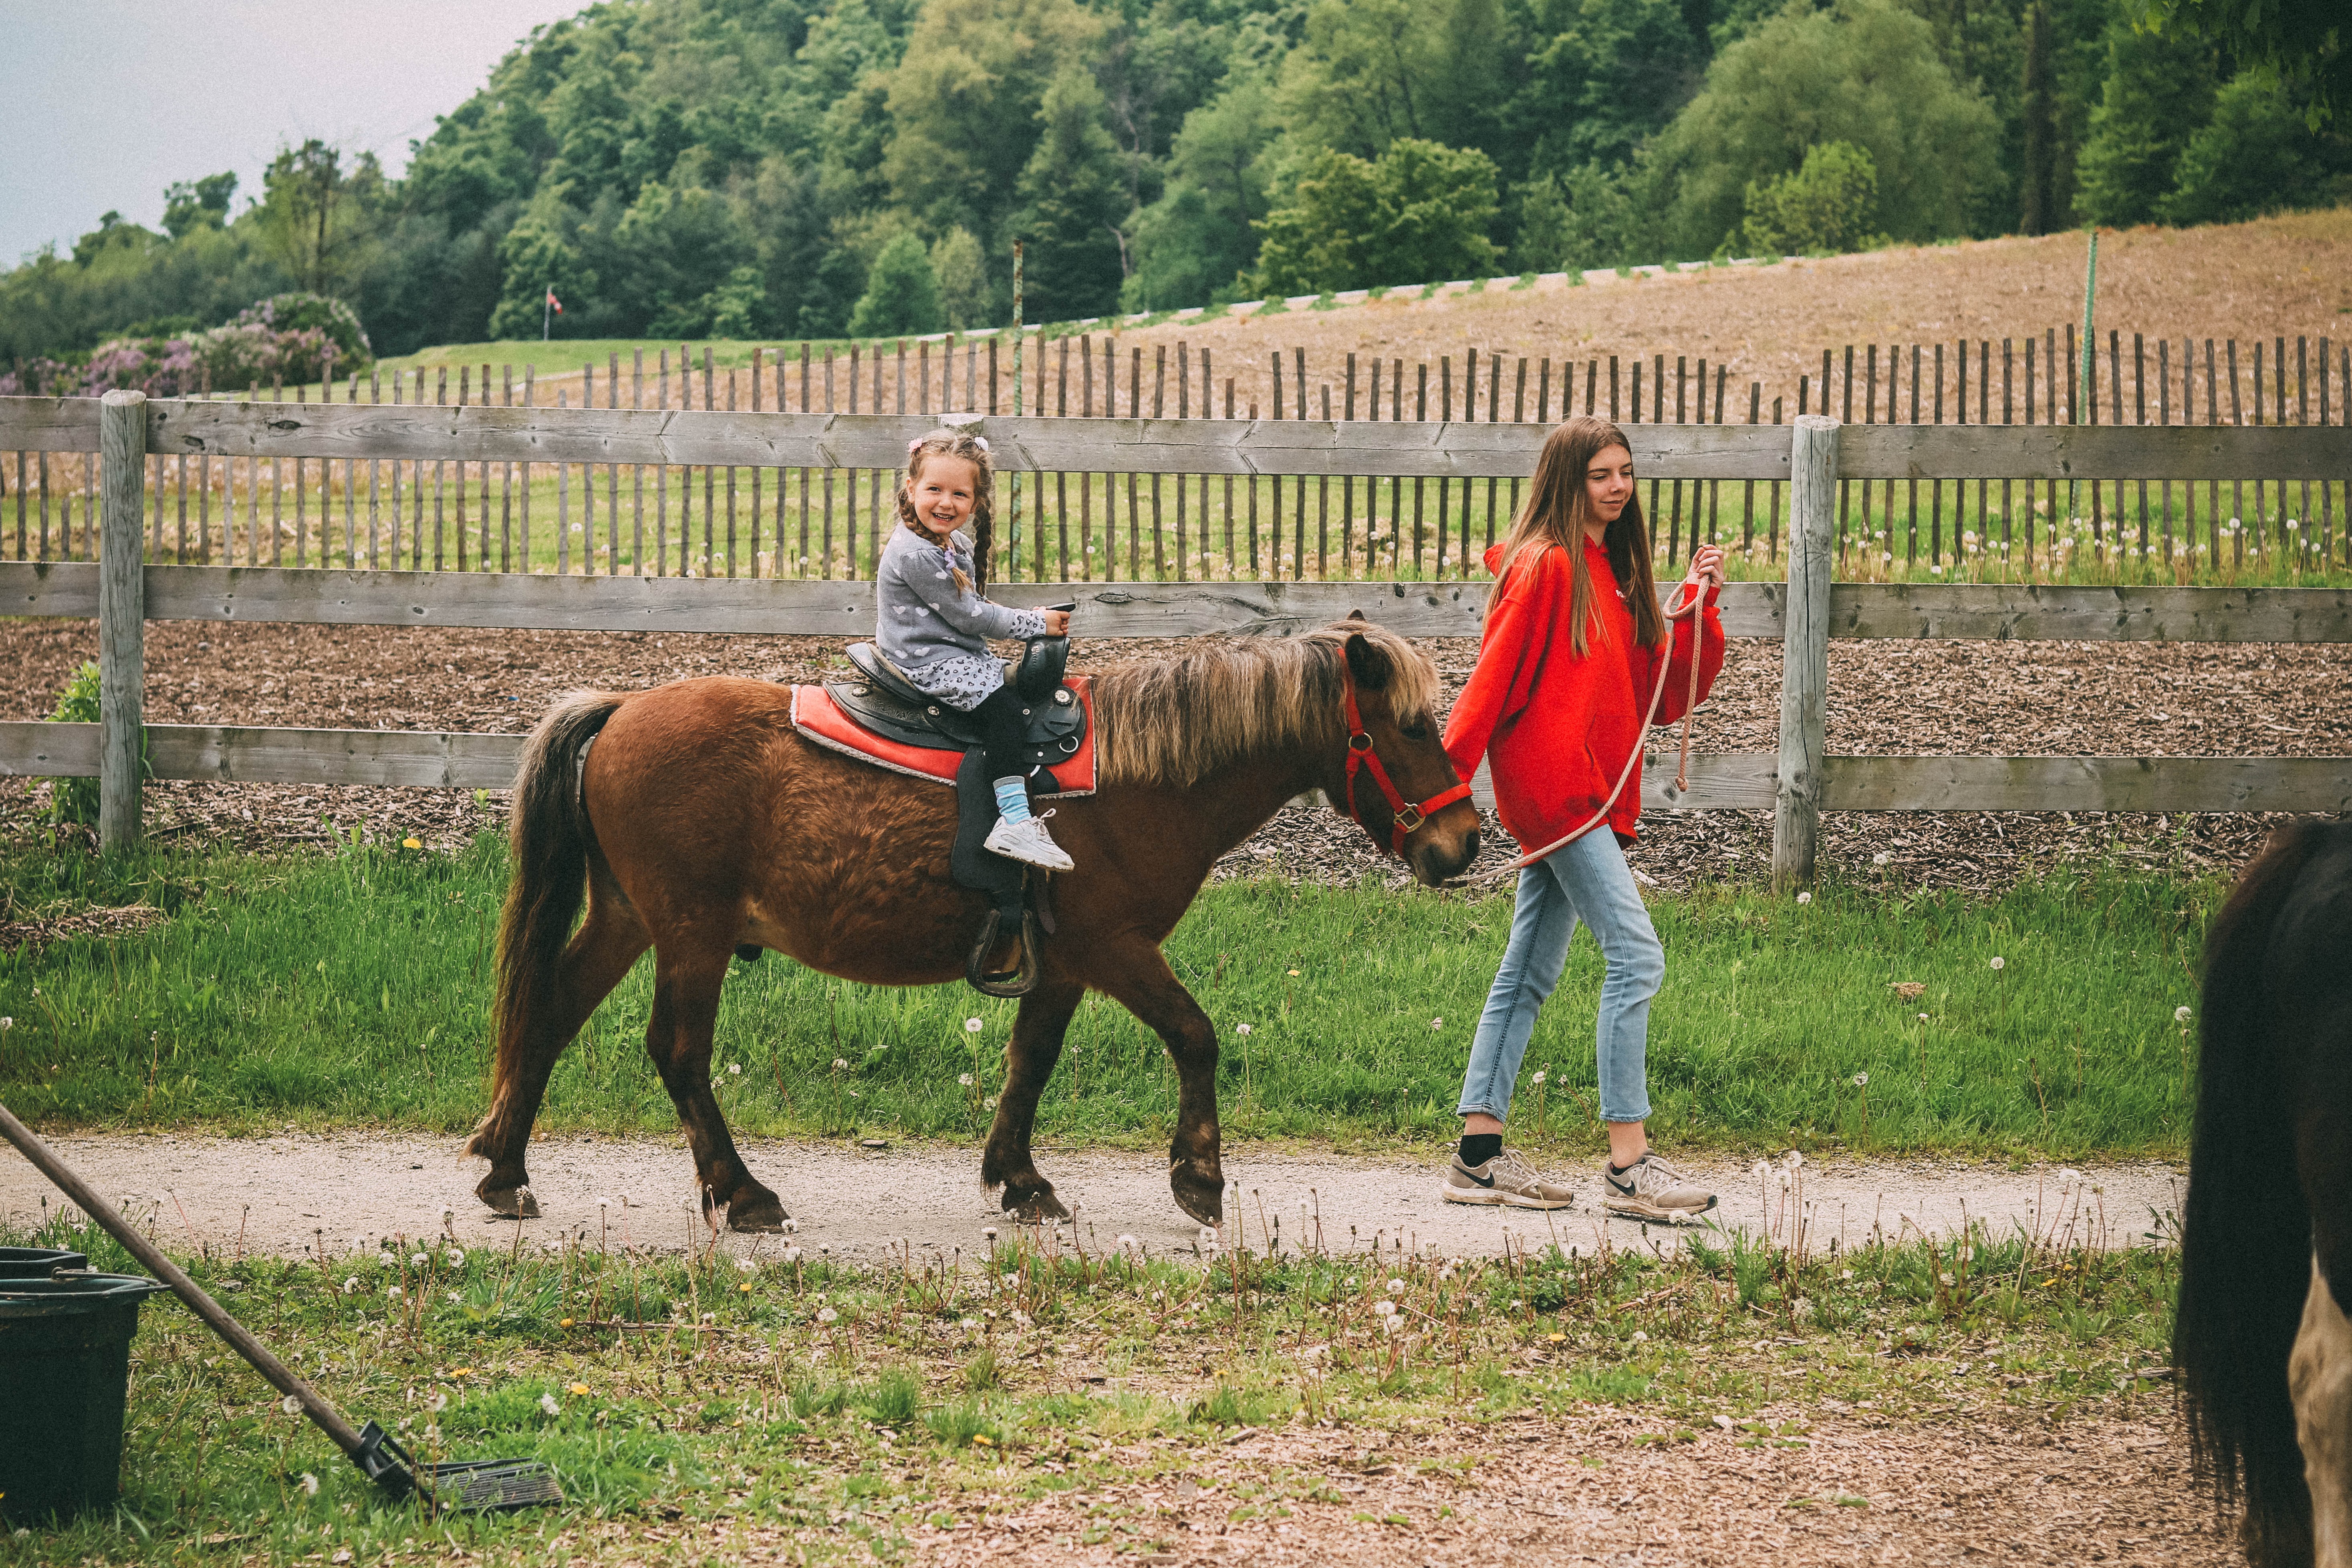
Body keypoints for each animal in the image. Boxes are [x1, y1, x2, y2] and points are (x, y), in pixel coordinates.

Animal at [466, 621, 1477, 1231]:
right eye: (1411, 725)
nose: (1463, 842)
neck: (1137, 777)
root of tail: (620, 710)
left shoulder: (1064, 962)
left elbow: (1029, 1061)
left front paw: (1018, 1179)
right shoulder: (1115, 947)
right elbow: (1195, 1036)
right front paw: (1198, 1175)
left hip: (629, 919)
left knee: (548, 1014)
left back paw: (507, 1170)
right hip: (690, 934)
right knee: (676, 1051)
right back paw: (739, 1190)